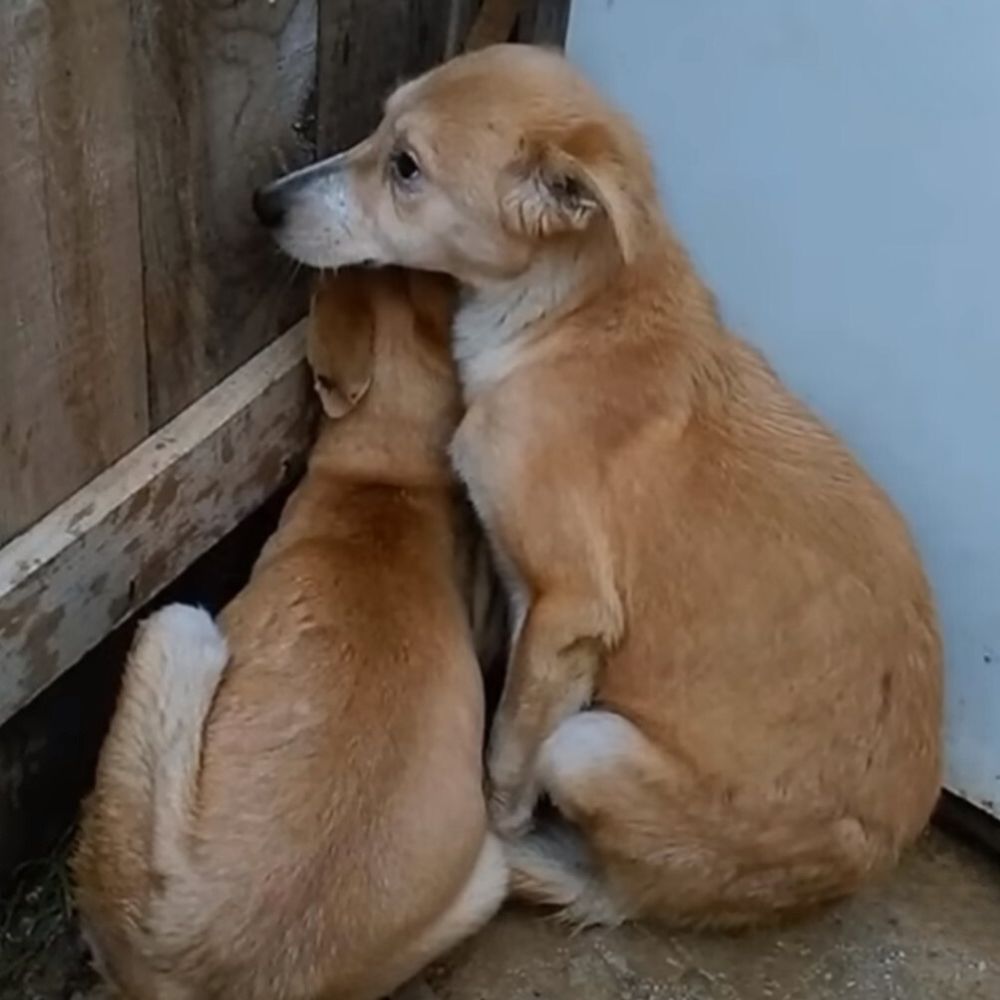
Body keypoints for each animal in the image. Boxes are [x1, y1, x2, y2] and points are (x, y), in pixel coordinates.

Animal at [254, 43, 940, 924]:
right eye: (378, 126)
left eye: (406, 167)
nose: (264, 204)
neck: (565, 321)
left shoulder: (566, 607)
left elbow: (508, 747)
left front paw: (496, 822)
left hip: (588, 745)